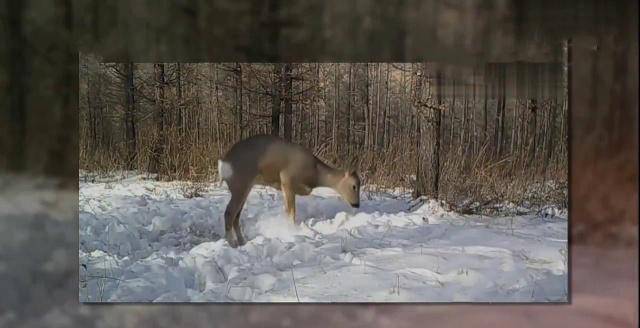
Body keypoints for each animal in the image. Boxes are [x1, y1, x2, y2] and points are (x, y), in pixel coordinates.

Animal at [219, 135, 360, 246]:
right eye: (354, 186)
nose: (357, 204)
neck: (314, 173)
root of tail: (223, 164)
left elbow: (287, 211)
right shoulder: (287, 180)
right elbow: (291, 212)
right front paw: (291, 231)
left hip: (245, 187)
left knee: (236, 215)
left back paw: (242, 241)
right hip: (240, 184)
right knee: (229, 212)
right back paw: (232, 243)